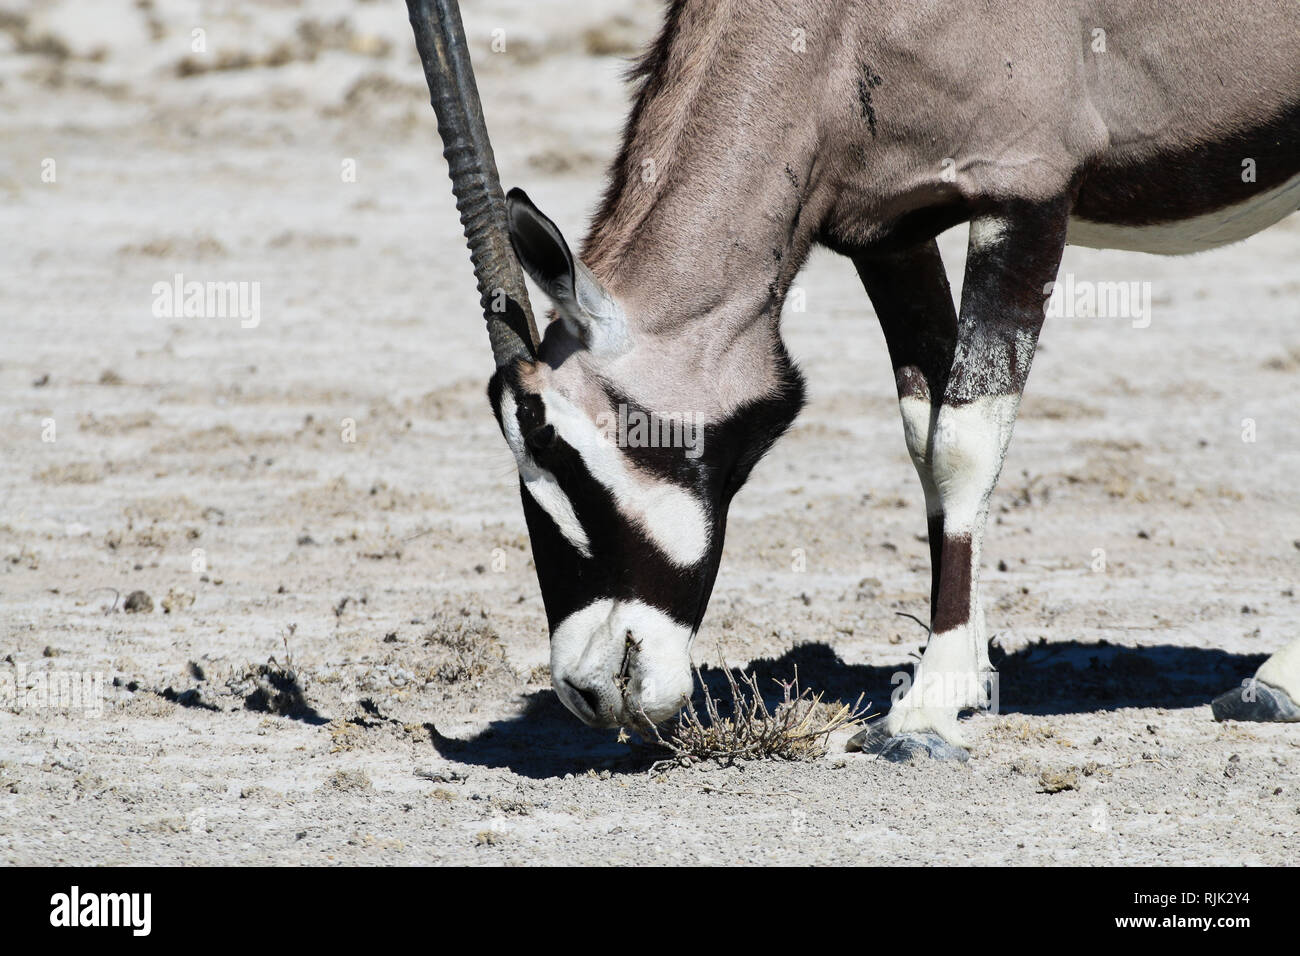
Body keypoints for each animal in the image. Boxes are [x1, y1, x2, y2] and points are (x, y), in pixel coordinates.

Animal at [413, 1, 1300, 764]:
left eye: (554, 439)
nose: (587, 691)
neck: (836, 28)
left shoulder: (1025, 187)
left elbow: (965, 443)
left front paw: (925, 708)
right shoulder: (889, 229)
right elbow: (925, 434)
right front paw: (967, 672)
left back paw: (1276, 677)